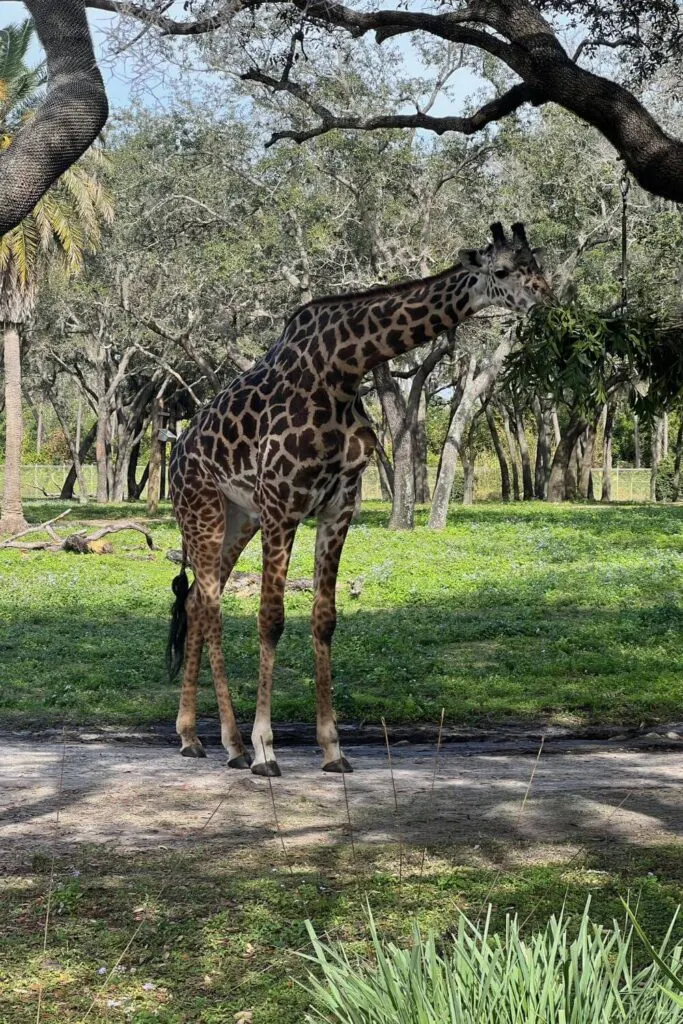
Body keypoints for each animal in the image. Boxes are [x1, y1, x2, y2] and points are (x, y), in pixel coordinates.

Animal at [167, 220, 552, 770]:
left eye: (536, 264)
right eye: (501, 271)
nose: (547, 303)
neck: (343, 370)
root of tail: (174, 453)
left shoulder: (338, 505)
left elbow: (324, 620)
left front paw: (333, 747)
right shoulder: (283, 504)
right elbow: (270, 619)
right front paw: (266, 748)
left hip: (238, 519)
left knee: (200, 601)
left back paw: (196, 737)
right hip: (202, 512)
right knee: (212, 606)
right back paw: (233, 745)